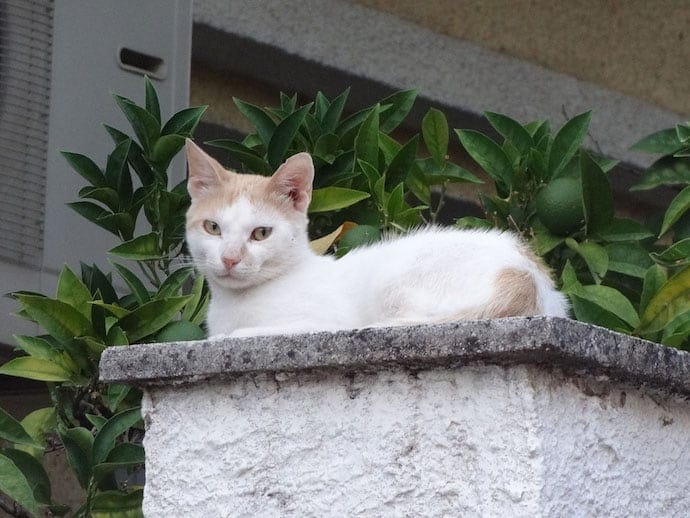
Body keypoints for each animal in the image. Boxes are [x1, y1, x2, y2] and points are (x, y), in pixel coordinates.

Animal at [184, 140, 568, 340]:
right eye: (213, 228)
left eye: (261, 233)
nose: (230, 258)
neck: (235, 305)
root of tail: (530, 278)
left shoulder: (321, 323)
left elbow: (238, 335)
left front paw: (233, 334)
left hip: (395, 279)